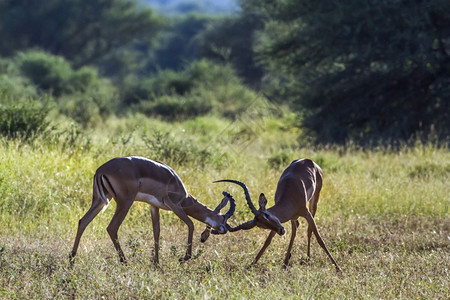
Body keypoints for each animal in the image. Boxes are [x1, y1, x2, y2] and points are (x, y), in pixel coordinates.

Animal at [70, 157, 236, 264]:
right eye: (223, 218)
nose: (224, 230)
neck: (183, 194)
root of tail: (100, 170)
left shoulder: (154, 206)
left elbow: (156, 231)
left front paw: (156, 264)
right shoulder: (174, 205)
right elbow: (190, 224)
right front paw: (184, 258)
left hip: (100, 201)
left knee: (82, 221)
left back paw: (71, 260)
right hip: (124, 202)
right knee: (111, 227)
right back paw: (125, 262)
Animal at [209, 158, 342, 274]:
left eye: (267, 215)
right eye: (262, 225)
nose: (281, 231)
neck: (290, 197)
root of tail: (309, 161)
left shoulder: (305, 213)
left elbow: (320, 239)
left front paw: (338, 268)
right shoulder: (280, 222)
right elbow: (268, 241)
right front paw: (251, 265)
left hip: (314, 202)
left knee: (309, 230)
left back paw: (308, 258)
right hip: (293, 218)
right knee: (295, 229)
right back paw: (286, 263)